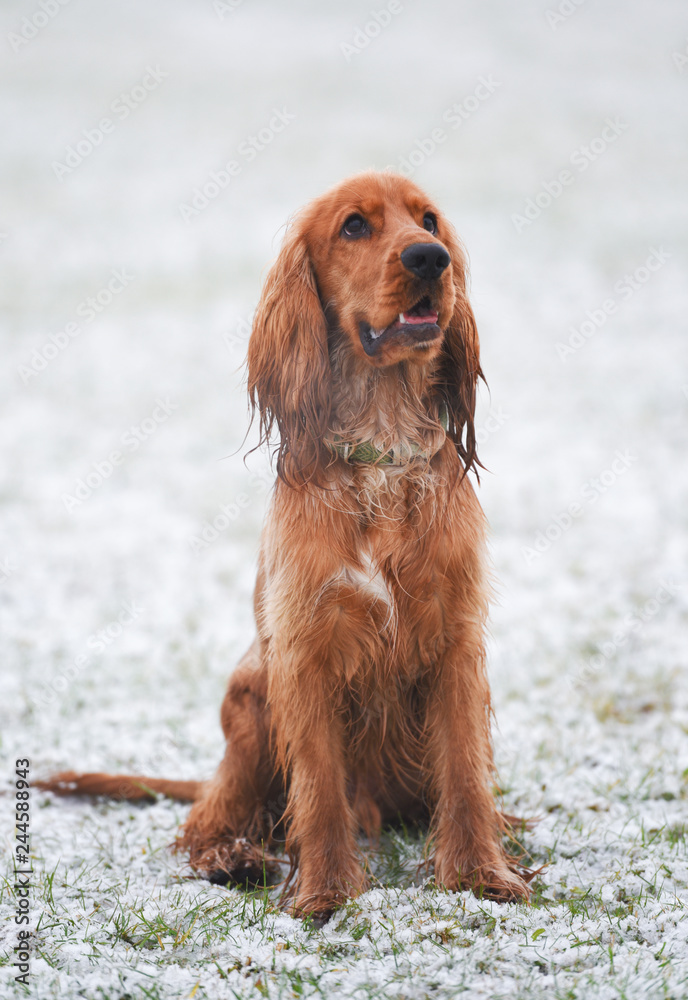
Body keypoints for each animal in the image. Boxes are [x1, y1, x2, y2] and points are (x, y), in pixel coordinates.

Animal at [37, 170, 532, 916]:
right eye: (354, 226)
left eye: (429, 221)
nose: (429, 259)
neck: (382, 451)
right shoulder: (306, 654)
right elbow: (319, 787)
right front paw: (325, 893)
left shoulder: (455, 641)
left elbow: (467, 774)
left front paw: (481, 875)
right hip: (248, 700)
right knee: (204, 819)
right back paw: (233, 857)